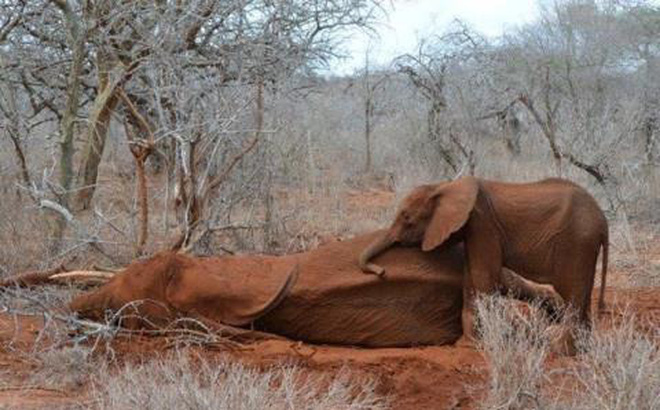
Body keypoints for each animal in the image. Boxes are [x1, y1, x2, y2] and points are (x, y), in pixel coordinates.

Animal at [360, 178, 608, 342]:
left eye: (407, 219)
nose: (381, 272)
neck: (445, 185)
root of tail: (602, 219)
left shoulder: (483, 225)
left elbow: (483, 275)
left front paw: (484, 340)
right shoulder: (473, 230)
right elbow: (471, 277)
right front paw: (470, 342)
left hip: (576, 240)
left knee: (573, 291)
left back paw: (559, 347)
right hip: (584, 244)